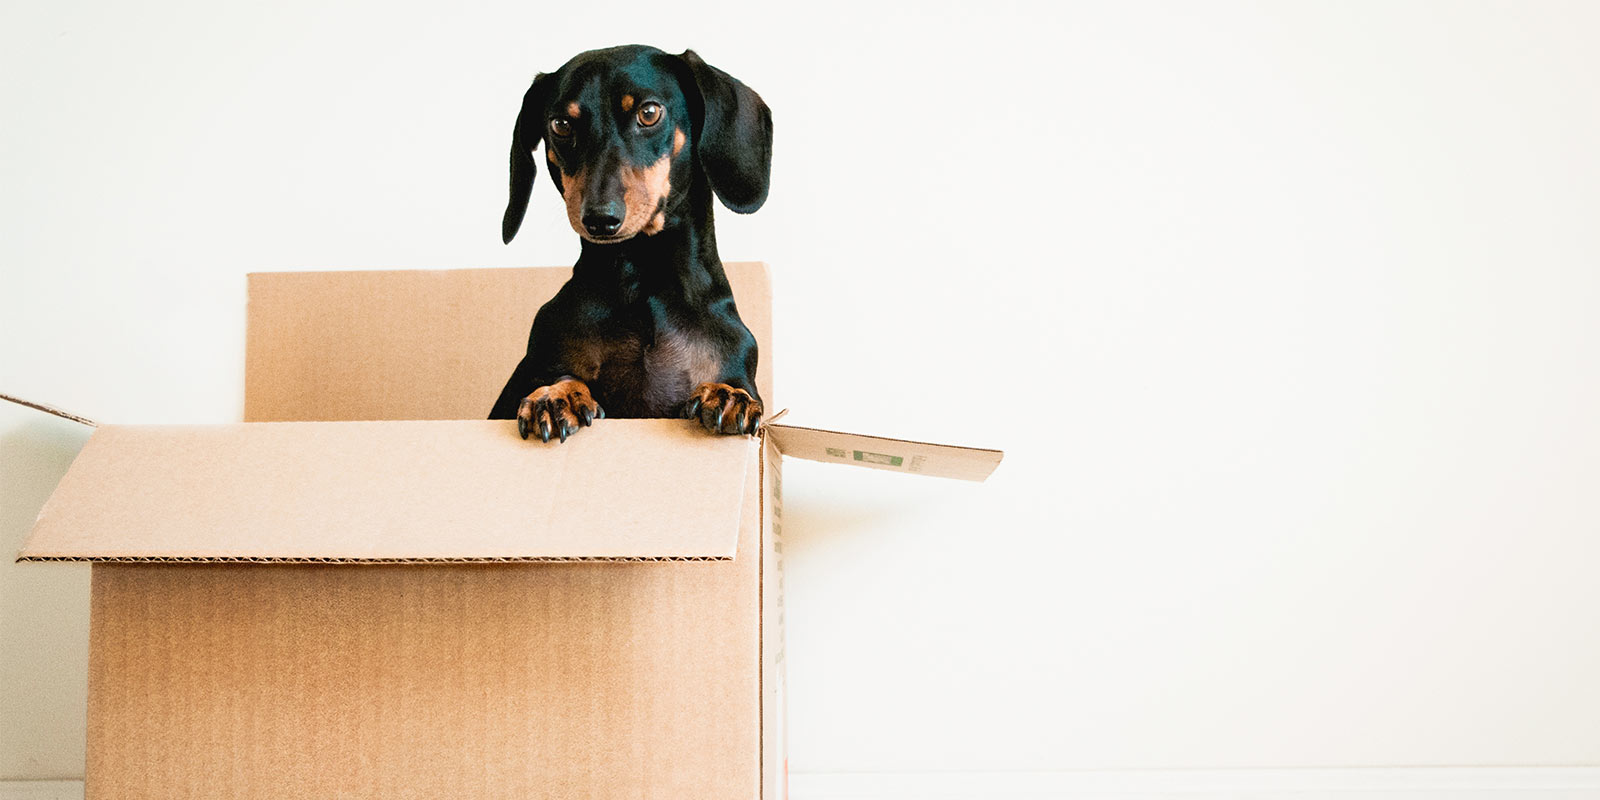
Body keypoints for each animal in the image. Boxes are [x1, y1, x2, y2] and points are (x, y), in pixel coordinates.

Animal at [486, 45, 774, 444]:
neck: (643, 280)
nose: (599, 218)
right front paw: (557, 394)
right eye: (560, 125)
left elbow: (732, 385)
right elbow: (559, 376)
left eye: (649, 113)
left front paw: (727, 394)